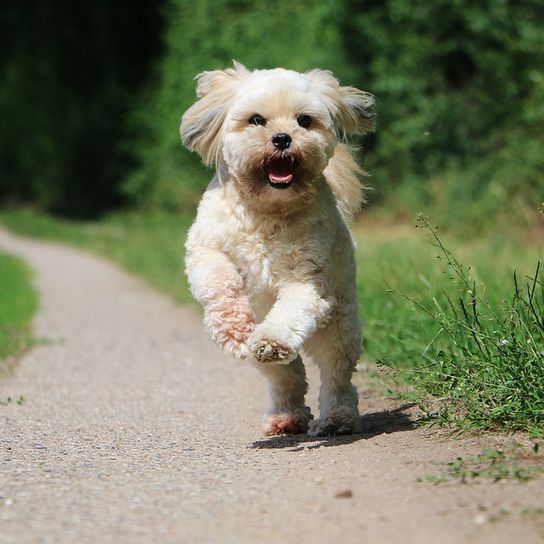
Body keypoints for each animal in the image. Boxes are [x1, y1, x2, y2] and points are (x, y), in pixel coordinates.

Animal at [181, 62, 376, 438]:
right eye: (257, 120)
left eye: (304, 120)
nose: (283, 138)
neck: (267, 209)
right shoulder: (206, 248)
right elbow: (219, 282)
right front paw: (233, 329)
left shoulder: (307, 281)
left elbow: (292, 310)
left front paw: (272, 341)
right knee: (288, 377)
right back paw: (286, 417)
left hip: (339, 327)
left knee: (335, 376)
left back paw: (337, 418)